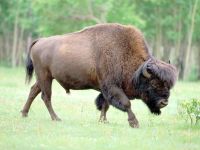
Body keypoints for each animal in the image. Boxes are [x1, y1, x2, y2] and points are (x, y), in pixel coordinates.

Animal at [21, 23, 177, 127]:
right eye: (154, 83)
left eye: (169, 85)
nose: (164, 102)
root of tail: (40, 41)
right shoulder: (112, 86)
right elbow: (126, 103)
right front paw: (134, 123)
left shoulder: (106, 89)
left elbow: (105, 104)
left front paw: (103, 120)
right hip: (45, 77)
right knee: (46, 97)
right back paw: (56, 118)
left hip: (44, 78)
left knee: (33, 91)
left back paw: (24, 113)